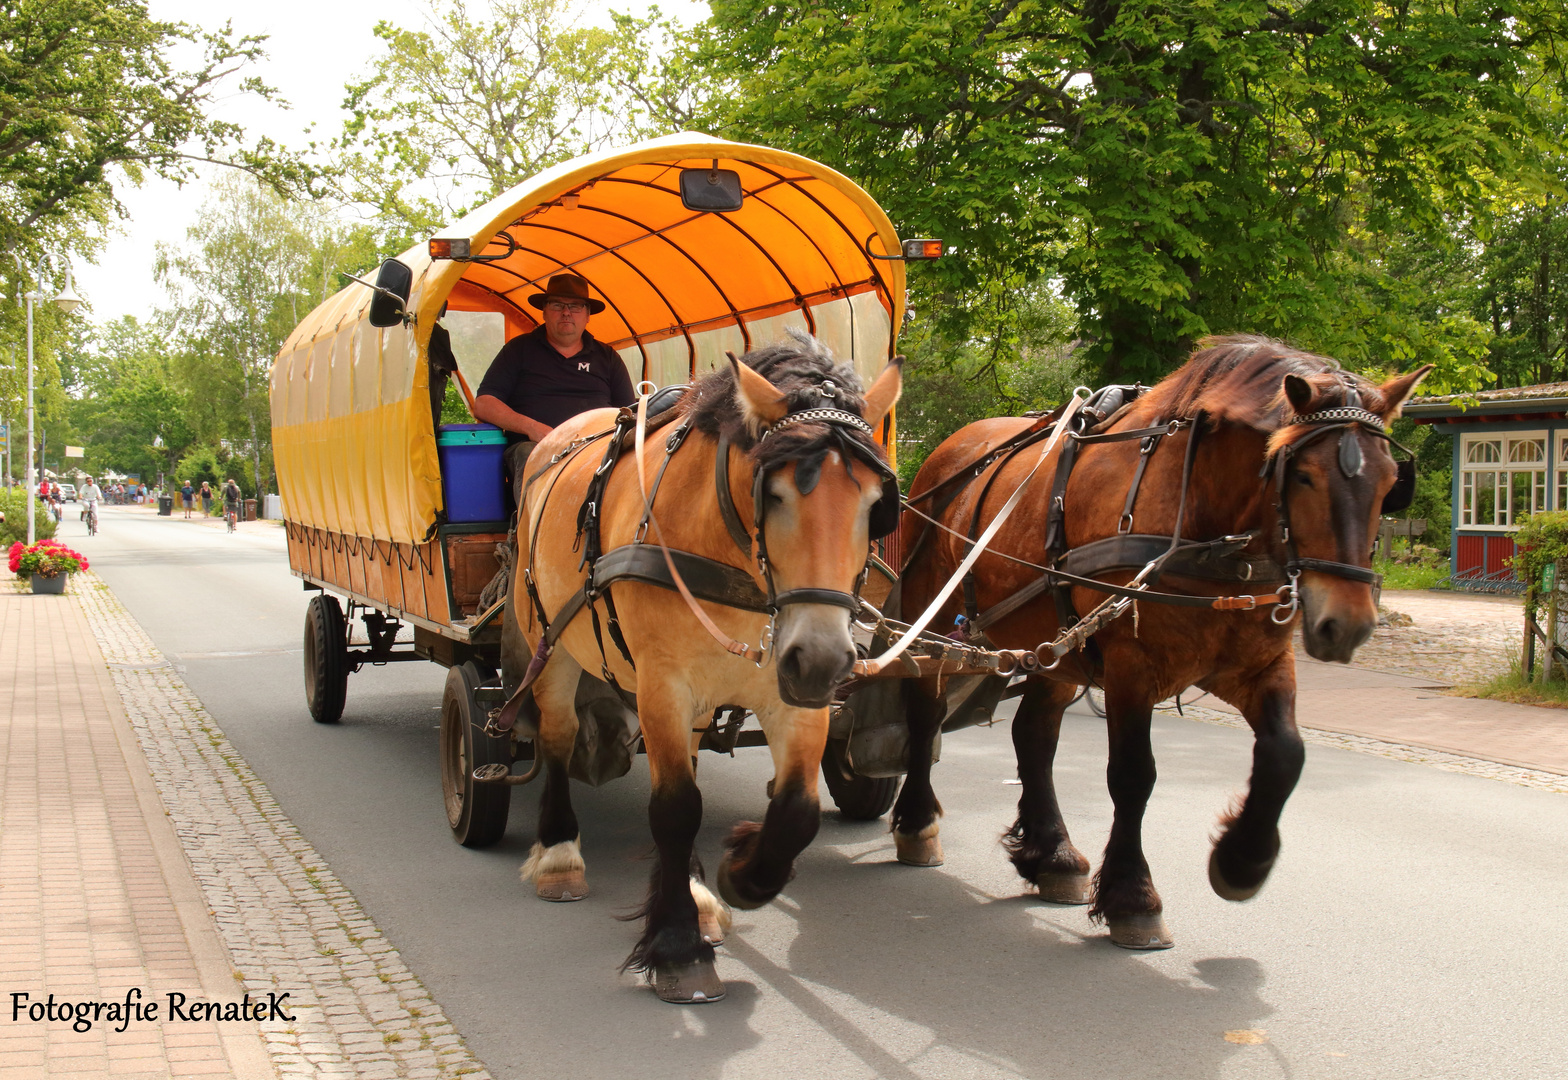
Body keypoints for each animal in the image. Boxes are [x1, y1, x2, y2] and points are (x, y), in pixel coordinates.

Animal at [495, 337, 903, 1003]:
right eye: (775, 493)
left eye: (876, 504)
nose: (822, 658)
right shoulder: (662, 684)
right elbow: (676, 810)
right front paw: (678, 947)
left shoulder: (794, 691)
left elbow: (796, 809)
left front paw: (741, 871)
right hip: (550, 646)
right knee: (558, 738)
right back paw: (558, 854)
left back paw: (694, 889)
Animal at [890, 335, 1430, 940]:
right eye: (1304, 476)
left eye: (1390, 484)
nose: (1349, 624)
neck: (1200, 514)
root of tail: (947, 451)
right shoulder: (1132, 664)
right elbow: (1133, 776)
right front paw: (1133, 897)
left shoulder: (1259, 664)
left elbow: (1286, 753)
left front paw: (1243, 860)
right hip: (932, 619)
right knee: (925, 710)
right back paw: (917, 823)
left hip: (1057, 646)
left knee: (1033, 736)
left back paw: (1053, 855)